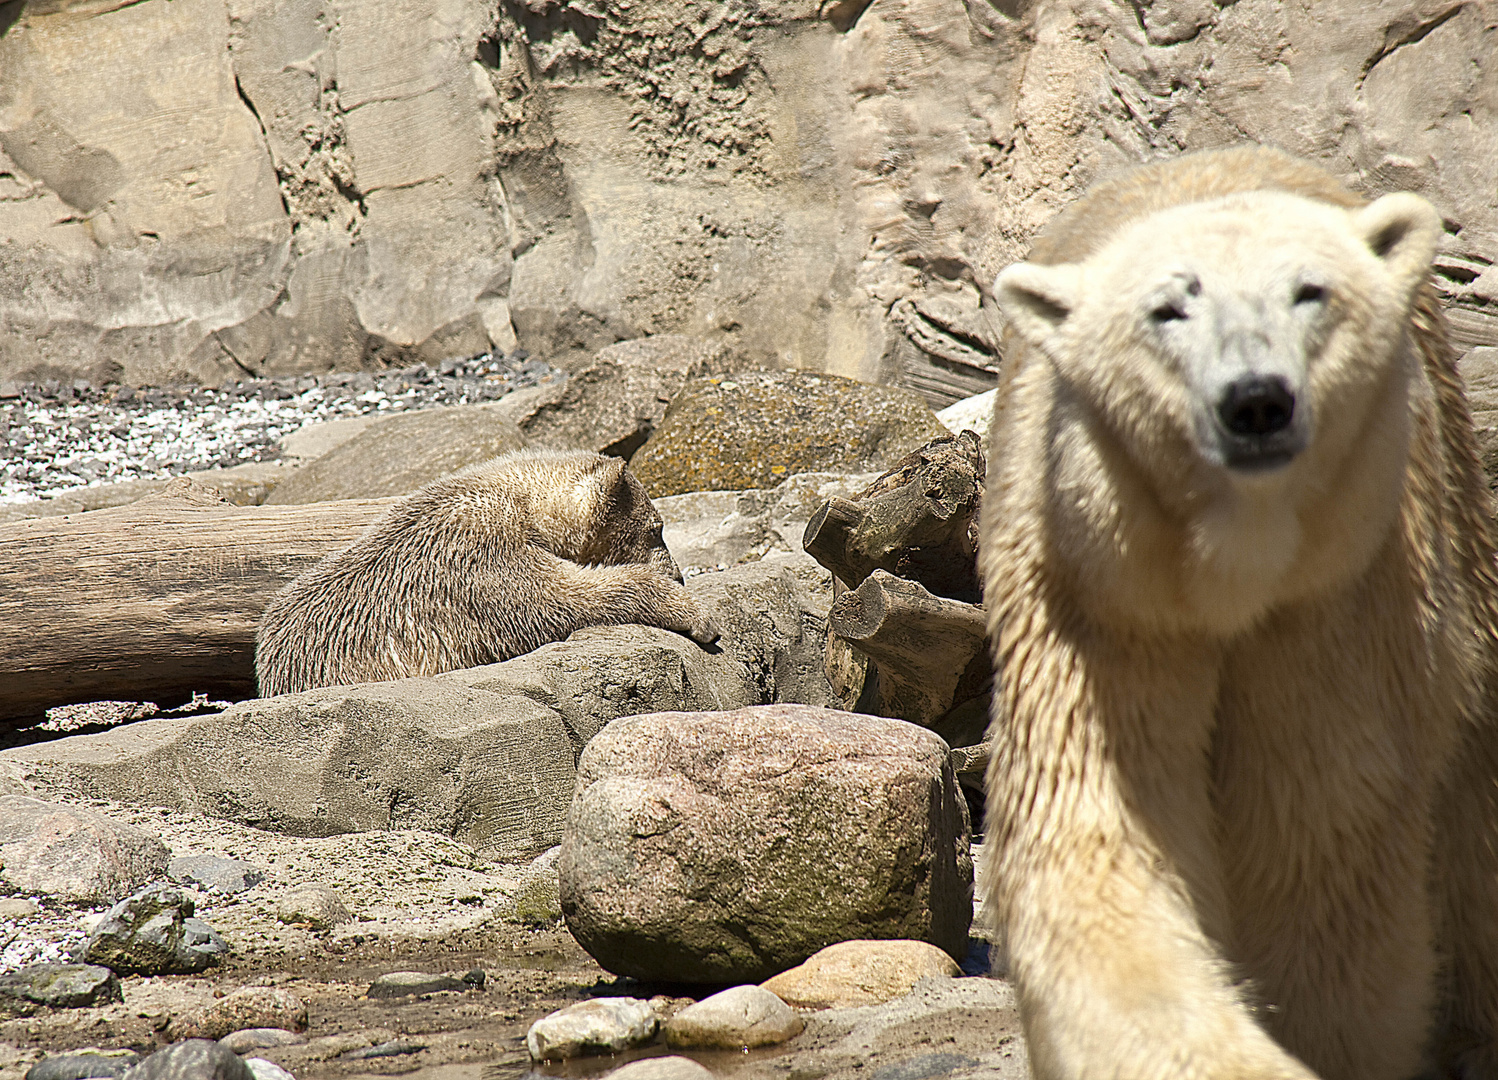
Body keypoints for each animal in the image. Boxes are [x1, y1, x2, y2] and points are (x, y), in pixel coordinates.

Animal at [254, 443, 722, 692]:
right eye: (657, 529)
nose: (678, 573)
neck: (520, 500)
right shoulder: (477, 553)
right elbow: (559, 600)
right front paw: (696, 615)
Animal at [976, 145, 1498, 1078]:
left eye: (1310, 291)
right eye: (1167, 308)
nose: (1256, 399)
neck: (1233, 575)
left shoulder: (1340, 606)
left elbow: (1319, 859)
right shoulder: (1097, 600)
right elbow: (1095, 844)